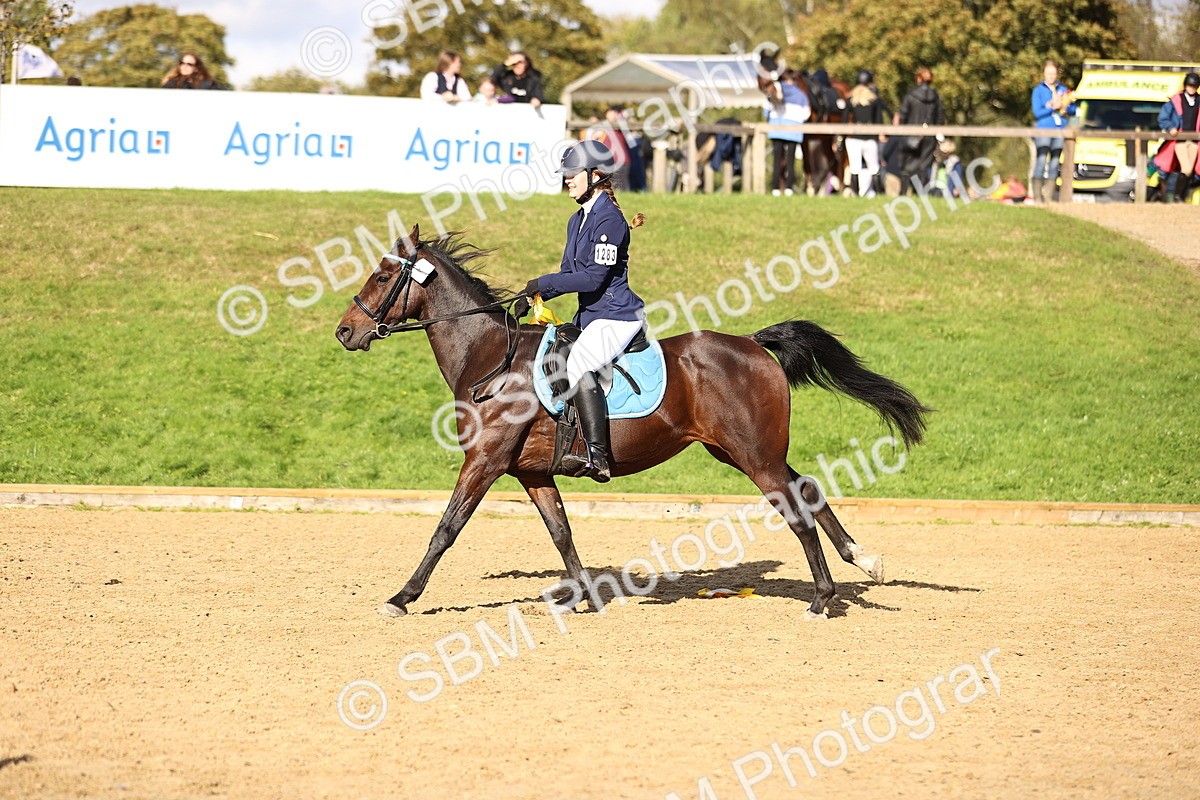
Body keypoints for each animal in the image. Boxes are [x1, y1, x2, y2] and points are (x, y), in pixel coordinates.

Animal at [335, 225, 931, 619]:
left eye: (383, 275)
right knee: (806, 489)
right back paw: (861, 563)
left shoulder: (485, 460)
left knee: (794, 508)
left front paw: (401, 598)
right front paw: (585, 596)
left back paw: (822, 598)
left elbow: (446, 529)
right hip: (744, 450)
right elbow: (561, 532)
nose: (344, 332)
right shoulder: (530, 471)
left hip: (753, 455)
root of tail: (753, 344)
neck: (490, 359)